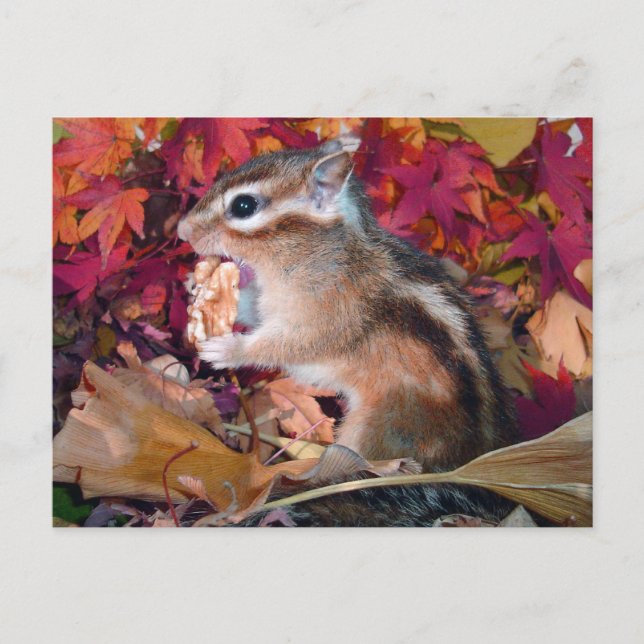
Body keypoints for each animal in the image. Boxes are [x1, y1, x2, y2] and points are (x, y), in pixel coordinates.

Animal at [177, 134, 518, 526]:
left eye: (244, 206)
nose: (181, 230)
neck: (320, 253)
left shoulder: (323, 320)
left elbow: (284, 346)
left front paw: (228, 349)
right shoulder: (273, 304)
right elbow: (253, 309)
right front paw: (198, 287)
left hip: (375, 437)